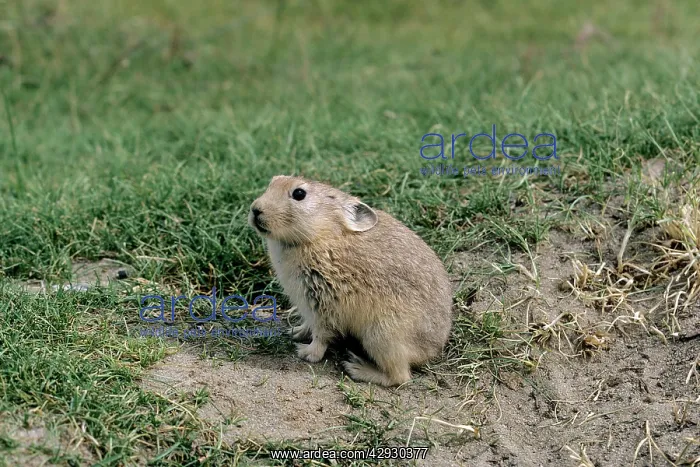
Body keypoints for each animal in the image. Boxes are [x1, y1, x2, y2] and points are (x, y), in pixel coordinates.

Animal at [248, 175, 453, 386]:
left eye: (299, 194)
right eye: (273, 182)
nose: (256, 209)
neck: (319, 236)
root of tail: (432, 349)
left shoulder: (325, 304)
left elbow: (322, 335)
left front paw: (307, 353)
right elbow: (309, 324)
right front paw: (296, 332)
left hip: (381, 336)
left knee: (400, 376)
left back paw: (356, 368)